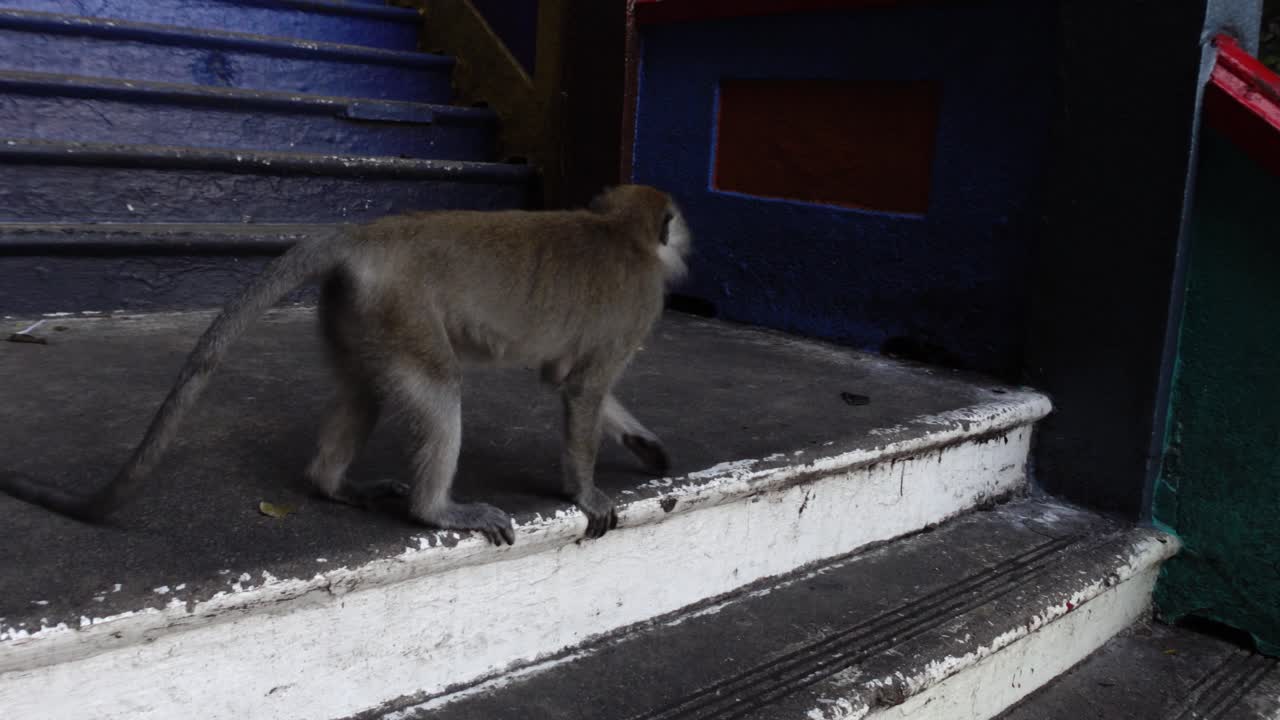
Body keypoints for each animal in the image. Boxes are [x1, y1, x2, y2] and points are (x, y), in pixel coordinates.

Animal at [0, 185, 692, 546]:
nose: (688, 239)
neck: (620, 229)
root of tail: (364, 236)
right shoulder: (636, 307)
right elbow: (581, 390)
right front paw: (586, 491)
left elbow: (565, 382)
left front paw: (645, 445)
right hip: (399, 308)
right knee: (437, 390)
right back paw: (434, 508)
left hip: (360, 310)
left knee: (368, 391)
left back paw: (331, 483)